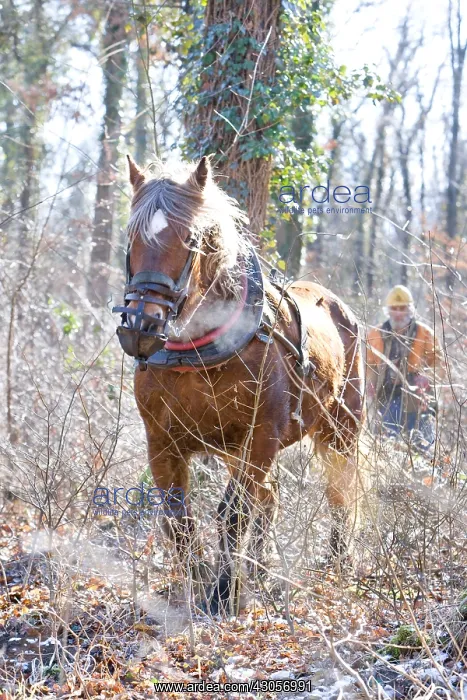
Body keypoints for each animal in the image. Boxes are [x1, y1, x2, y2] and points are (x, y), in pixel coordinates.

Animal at [113, 155, 365, 615]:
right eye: (132, 235)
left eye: (190, 238)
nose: (140, 327)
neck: (196, 354)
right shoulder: (161, 442)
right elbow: (178, 516)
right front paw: (196, 582)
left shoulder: (260, 438)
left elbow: (232, 514)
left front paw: (223, 593)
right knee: (271, 499)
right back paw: (261, 571)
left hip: (340, 429)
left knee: (338, 492)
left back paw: (336, 562)